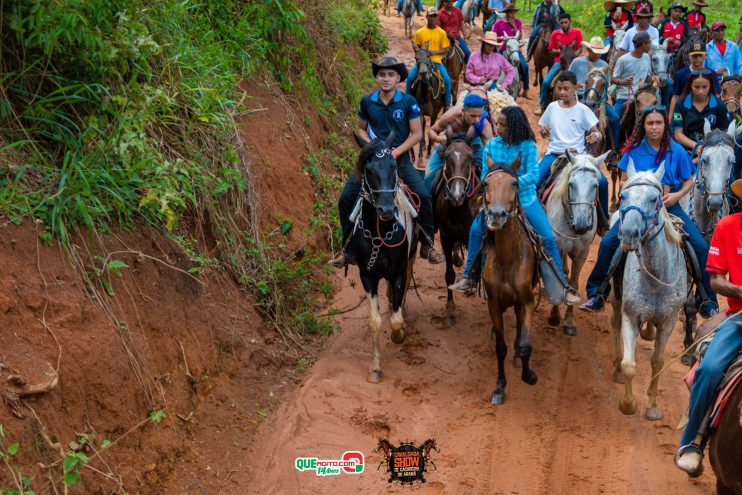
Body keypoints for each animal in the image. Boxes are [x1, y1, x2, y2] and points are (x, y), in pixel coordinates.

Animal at [548, 151, 612, 338]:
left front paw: (569, 321)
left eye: (595, 185)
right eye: (571, 184)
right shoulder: (558, 247)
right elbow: (559, 277)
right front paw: (554, 316)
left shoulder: (582, 254)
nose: (582, 225)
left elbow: (574, 284)